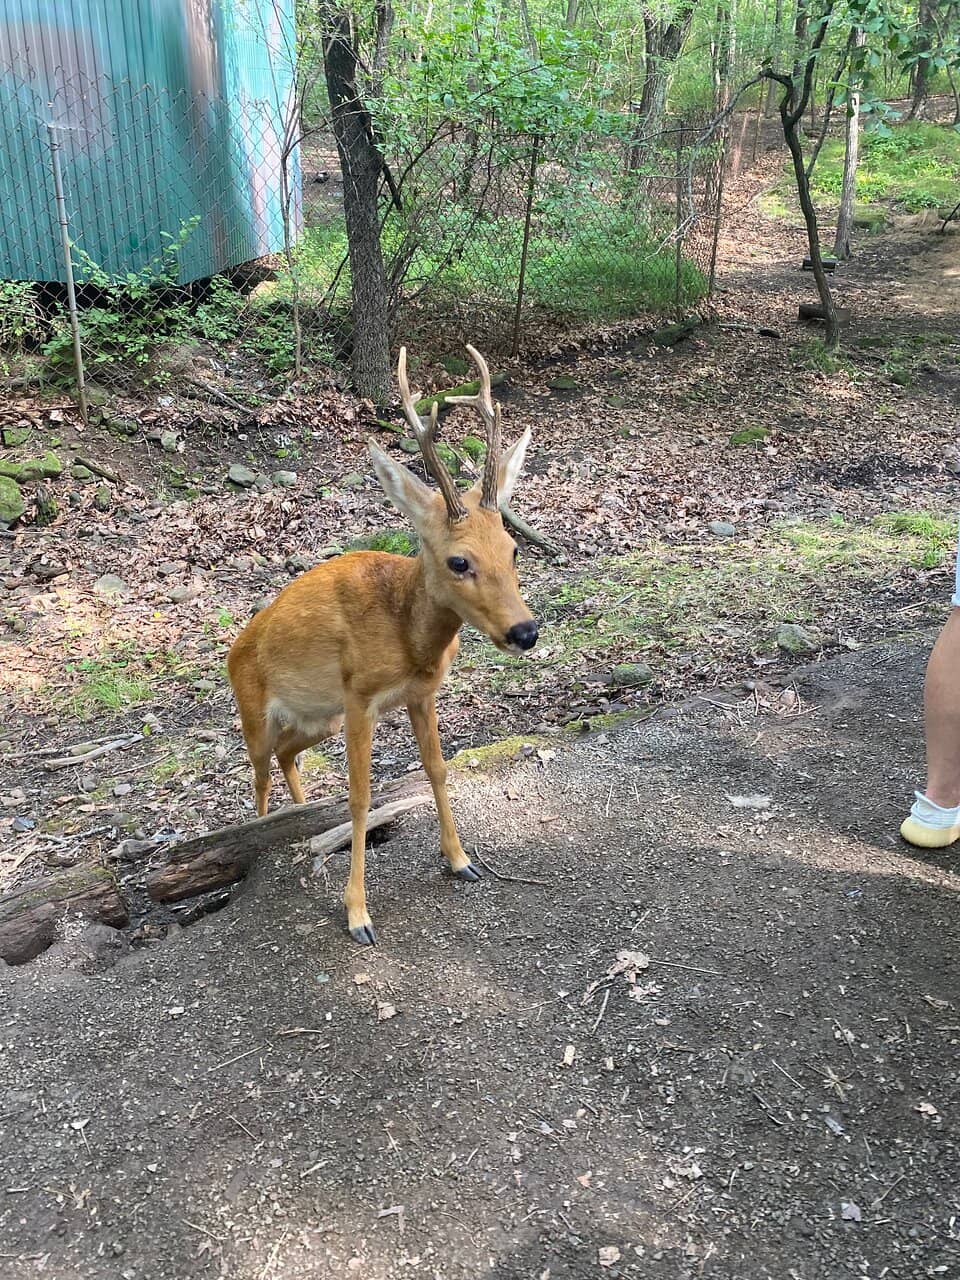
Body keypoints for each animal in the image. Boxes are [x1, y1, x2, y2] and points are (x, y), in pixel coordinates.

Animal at [226, 345, 539, 945]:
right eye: (459, 561)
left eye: (513, 549)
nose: (525, 631)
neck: (409, 640)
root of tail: (235, 648)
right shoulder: (358, 696)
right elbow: (360, 796)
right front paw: (357, 915)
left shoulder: (421, 694)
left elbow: (437, 769)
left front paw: (460, 860)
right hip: (256, 709)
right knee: (257, 772)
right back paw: (265, 831)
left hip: (316, 718)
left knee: (287, 756)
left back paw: (304, 822)